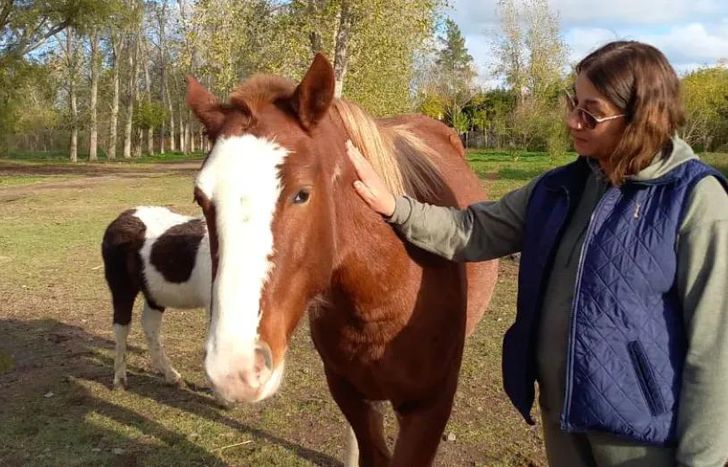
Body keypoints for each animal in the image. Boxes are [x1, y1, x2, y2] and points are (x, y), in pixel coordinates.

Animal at [102, 206, 210, 390]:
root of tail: (124, 215)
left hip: (154, 292)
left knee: (150, 325)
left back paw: (171, 375)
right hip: (121, 287)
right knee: (121, 326)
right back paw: (120, 380)